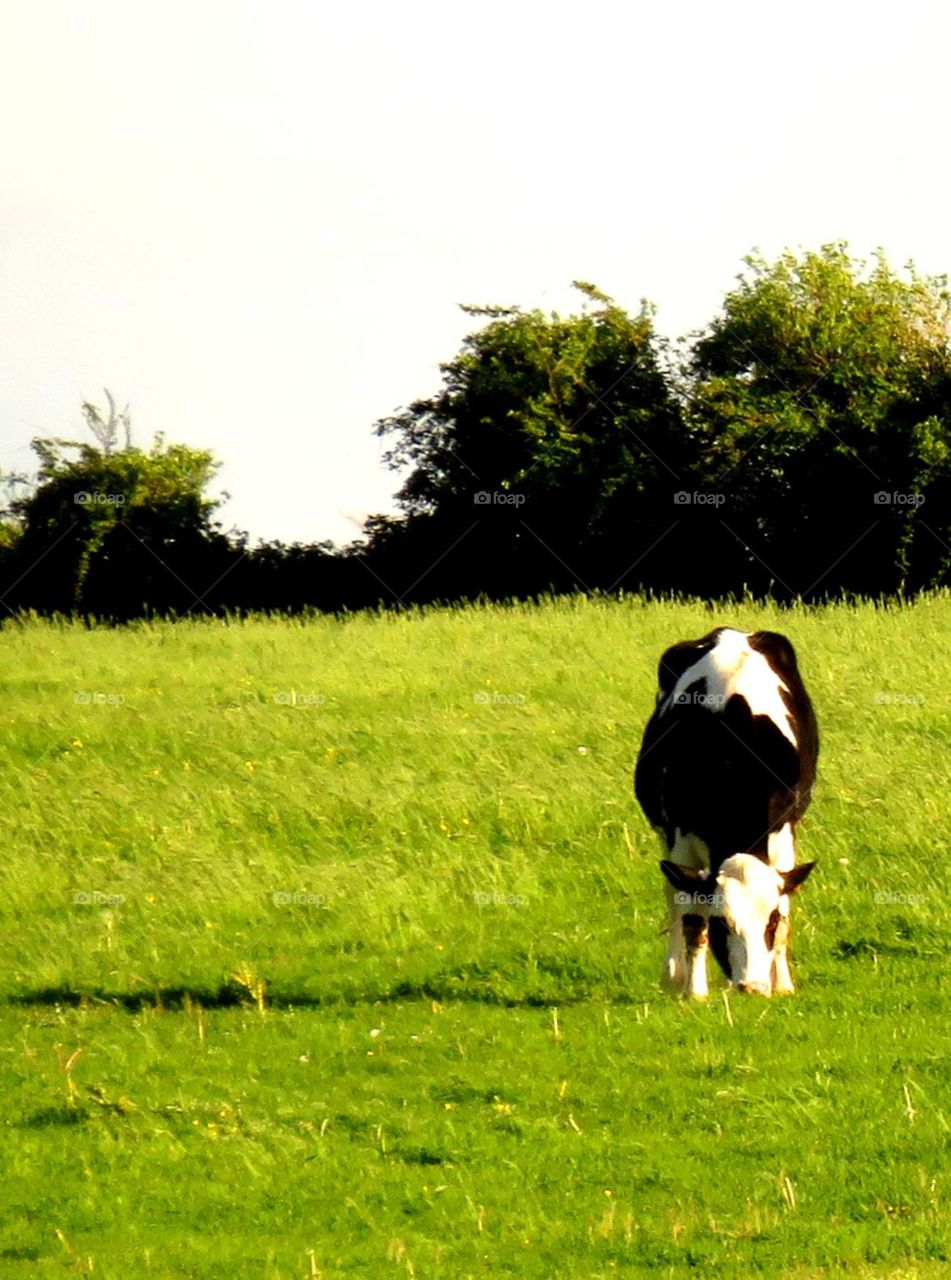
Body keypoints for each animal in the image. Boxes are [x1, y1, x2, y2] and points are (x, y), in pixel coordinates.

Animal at [632, 629, 819, 998]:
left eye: (769, 921)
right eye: (723, 922)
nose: (753, 986)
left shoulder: (784, 833)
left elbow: (787, 903)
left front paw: (783, 984)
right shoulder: (680, 836)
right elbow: (692, 918)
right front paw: (694, 991)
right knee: (673, 897)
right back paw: (673, 975)